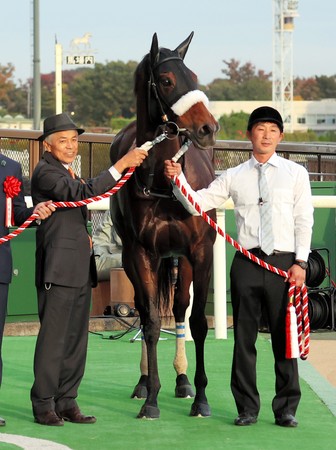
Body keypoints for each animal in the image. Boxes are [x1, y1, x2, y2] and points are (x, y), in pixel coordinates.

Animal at [110, 32, 219, 418]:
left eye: (195, 76)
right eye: (168, 80)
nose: (208, 128)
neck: (161, 181)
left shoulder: (199, 251)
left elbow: (197, 321)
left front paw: (201, 397)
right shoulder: (140, 253)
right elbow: (152, 322)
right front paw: (152, 397)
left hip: (179, 259)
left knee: (180, 308)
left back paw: (184, 380)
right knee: (147, 312)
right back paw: (144, 382)